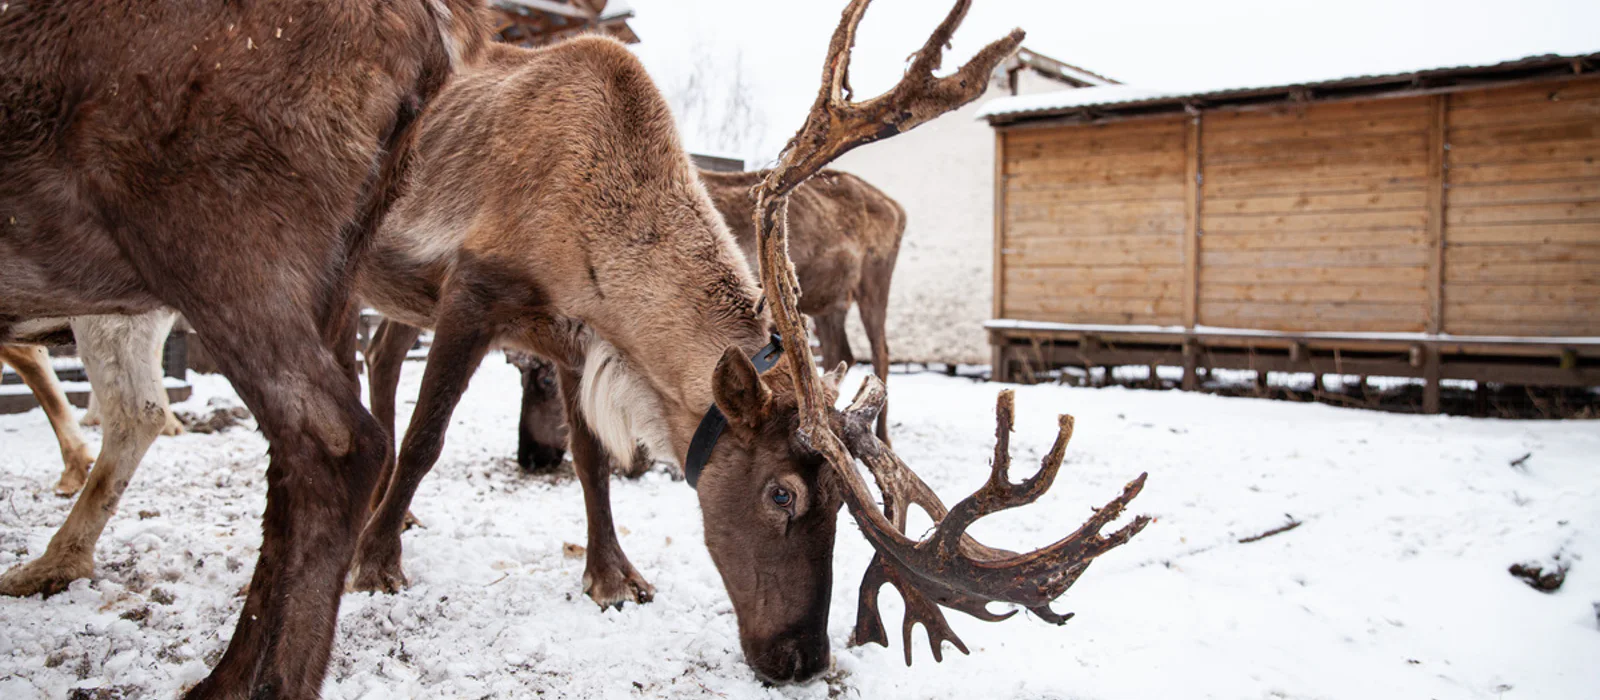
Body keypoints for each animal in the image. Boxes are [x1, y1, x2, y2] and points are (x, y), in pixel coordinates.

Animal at [1, 1, 488, 697]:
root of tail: (435, 33)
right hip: (332, 266)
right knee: (282, 459)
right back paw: (223, 672)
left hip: (216, 240)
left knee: (332, 442)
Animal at [345, 0, 1149, 684]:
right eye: (782, 493)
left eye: (841, 503)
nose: (804, 659)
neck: (581, 228)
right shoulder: (471, 289)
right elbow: (428, 437)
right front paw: (375, 565)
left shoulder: (577, 339)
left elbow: (593, 463)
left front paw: (613, 578)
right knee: (373, 368)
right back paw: (379, 513)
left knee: (377, 357)